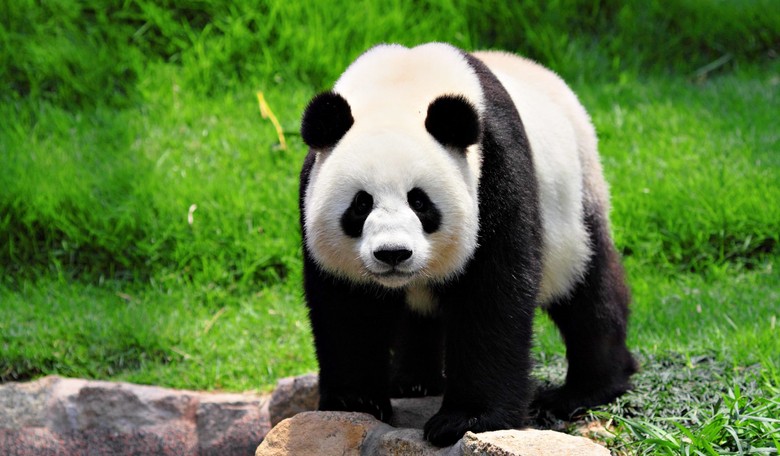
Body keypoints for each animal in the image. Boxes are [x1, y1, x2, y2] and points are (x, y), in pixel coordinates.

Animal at [298, 42, 637, 447]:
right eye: (360, 204)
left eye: (420, 201)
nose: (393, 254)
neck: (401, 87)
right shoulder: (312, 191)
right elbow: (348, 306)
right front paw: (356, 400)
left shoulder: (495, 171)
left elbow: (492, 294)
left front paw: (465, 420)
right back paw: (413, 382)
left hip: (575, 202)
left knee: (588, 289)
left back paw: (586, 390)